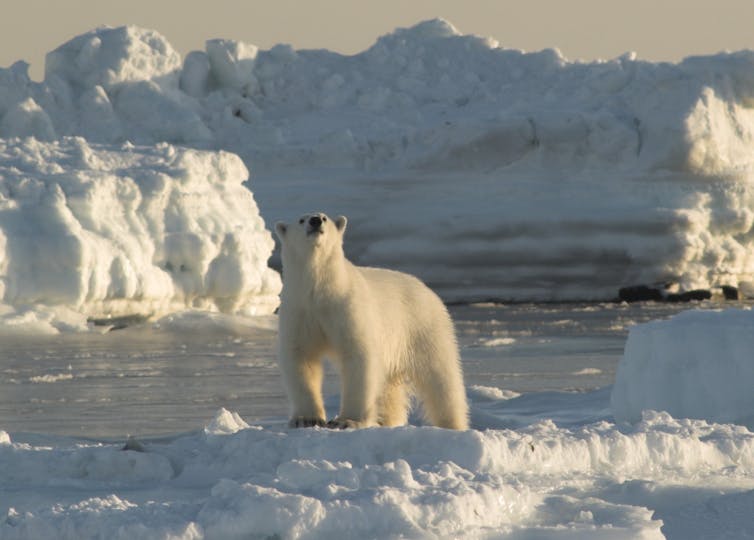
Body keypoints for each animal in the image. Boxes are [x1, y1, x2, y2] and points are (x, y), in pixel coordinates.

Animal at [274, 211, 468, 430]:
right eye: (301, 220)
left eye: (325, 218)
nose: (315, 221)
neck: (319, 290)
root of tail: (426, 288)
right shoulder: (300, 309)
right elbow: (301, 356)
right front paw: (306, 419)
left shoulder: (346, 306)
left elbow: (358, 356)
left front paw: (346, 420)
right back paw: (387, 420)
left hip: (423, 326)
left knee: (440, 377)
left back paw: (452, 424)